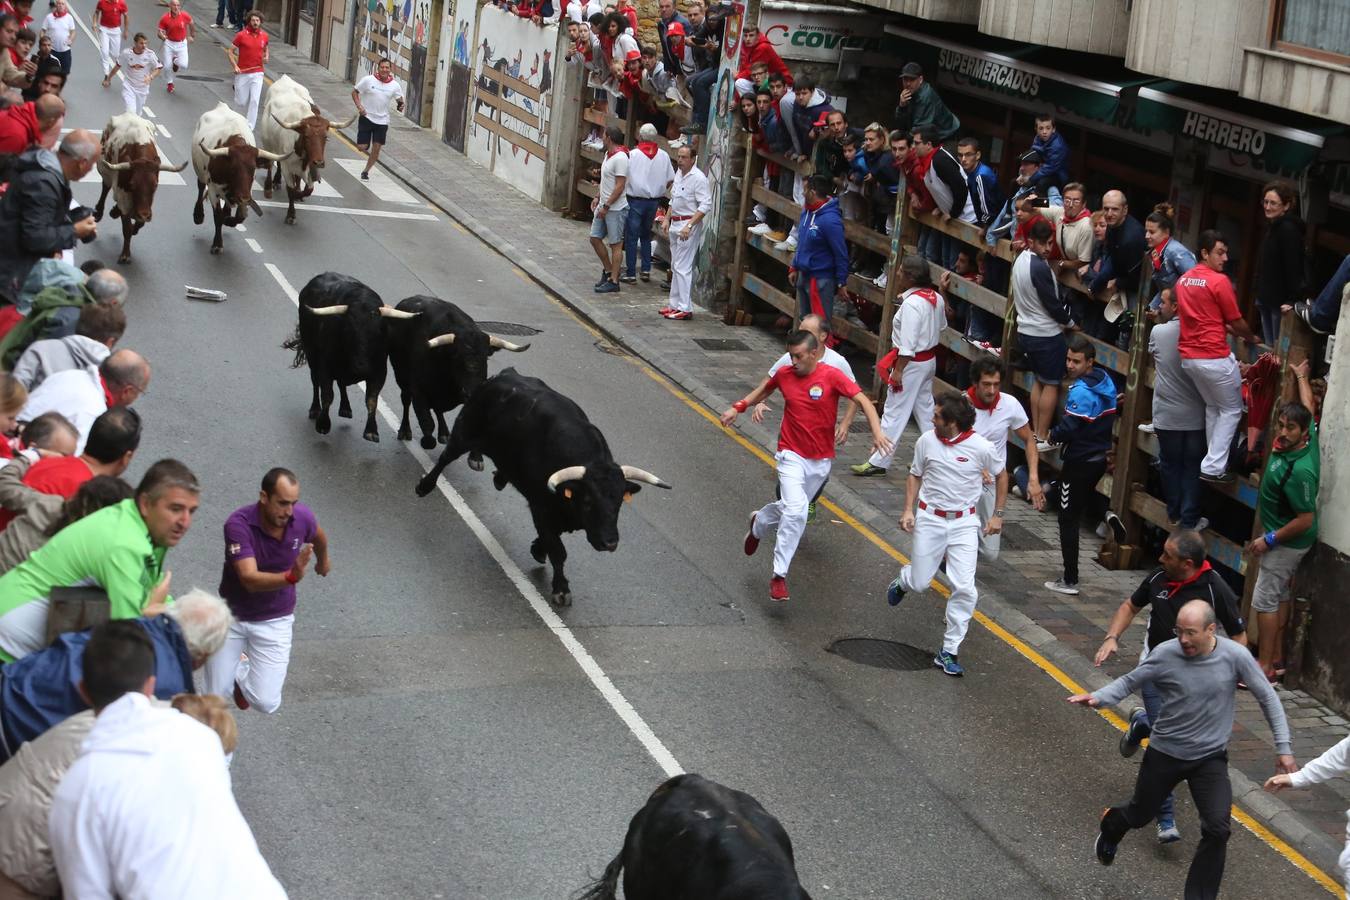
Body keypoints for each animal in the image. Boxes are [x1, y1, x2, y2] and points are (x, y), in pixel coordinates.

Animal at [388, 295, 529, 450]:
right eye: (456, 356)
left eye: (486, 356)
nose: (470, 391)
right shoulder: (418, 390)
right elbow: (427, 422)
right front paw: (427, 441)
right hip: (401, 376)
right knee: (406, 400)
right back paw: (405, 431)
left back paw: (444, 433)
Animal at [410, 369, 664, 609]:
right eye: (588, 501)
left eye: (620, 501)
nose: (609, 543)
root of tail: (502, 375)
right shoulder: (541, 508)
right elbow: (558, 550)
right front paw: (561, 589)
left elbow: (550, 541)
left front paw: (538, 550)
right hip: (465, 431)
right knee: (446, 457)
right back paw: (425, 486)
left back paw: (500, 478)